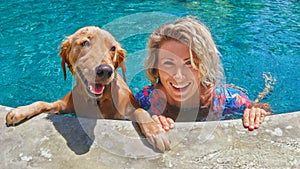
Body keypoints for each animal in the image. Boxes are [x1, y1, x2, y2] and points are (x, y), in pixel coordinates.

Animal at [5, 26, 169, 152]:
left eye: (112, 48)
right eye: (85, 42)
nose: (105, 70)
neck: (97, 100)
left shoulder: (127, 110)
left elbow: (140, 111)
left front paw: (156, 132)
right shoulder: (62, 105)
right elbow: (41, 103)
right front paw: (20, 111)